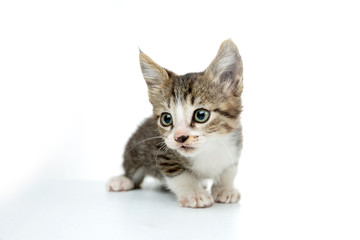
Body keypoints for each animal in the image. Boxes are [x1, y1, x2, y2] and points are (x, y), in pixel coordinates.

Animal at [105, 39, 243, 208]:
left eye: (201, 115)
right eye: (166, 119)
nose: (180, 137)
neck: (209, 148)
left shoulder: (235, 145)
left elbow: (229, 170)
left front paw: (225, 189)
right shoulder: (163, 153)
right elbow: (180, 175)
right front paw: (194, 194)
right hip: (135, 148)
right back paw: (122, 180)